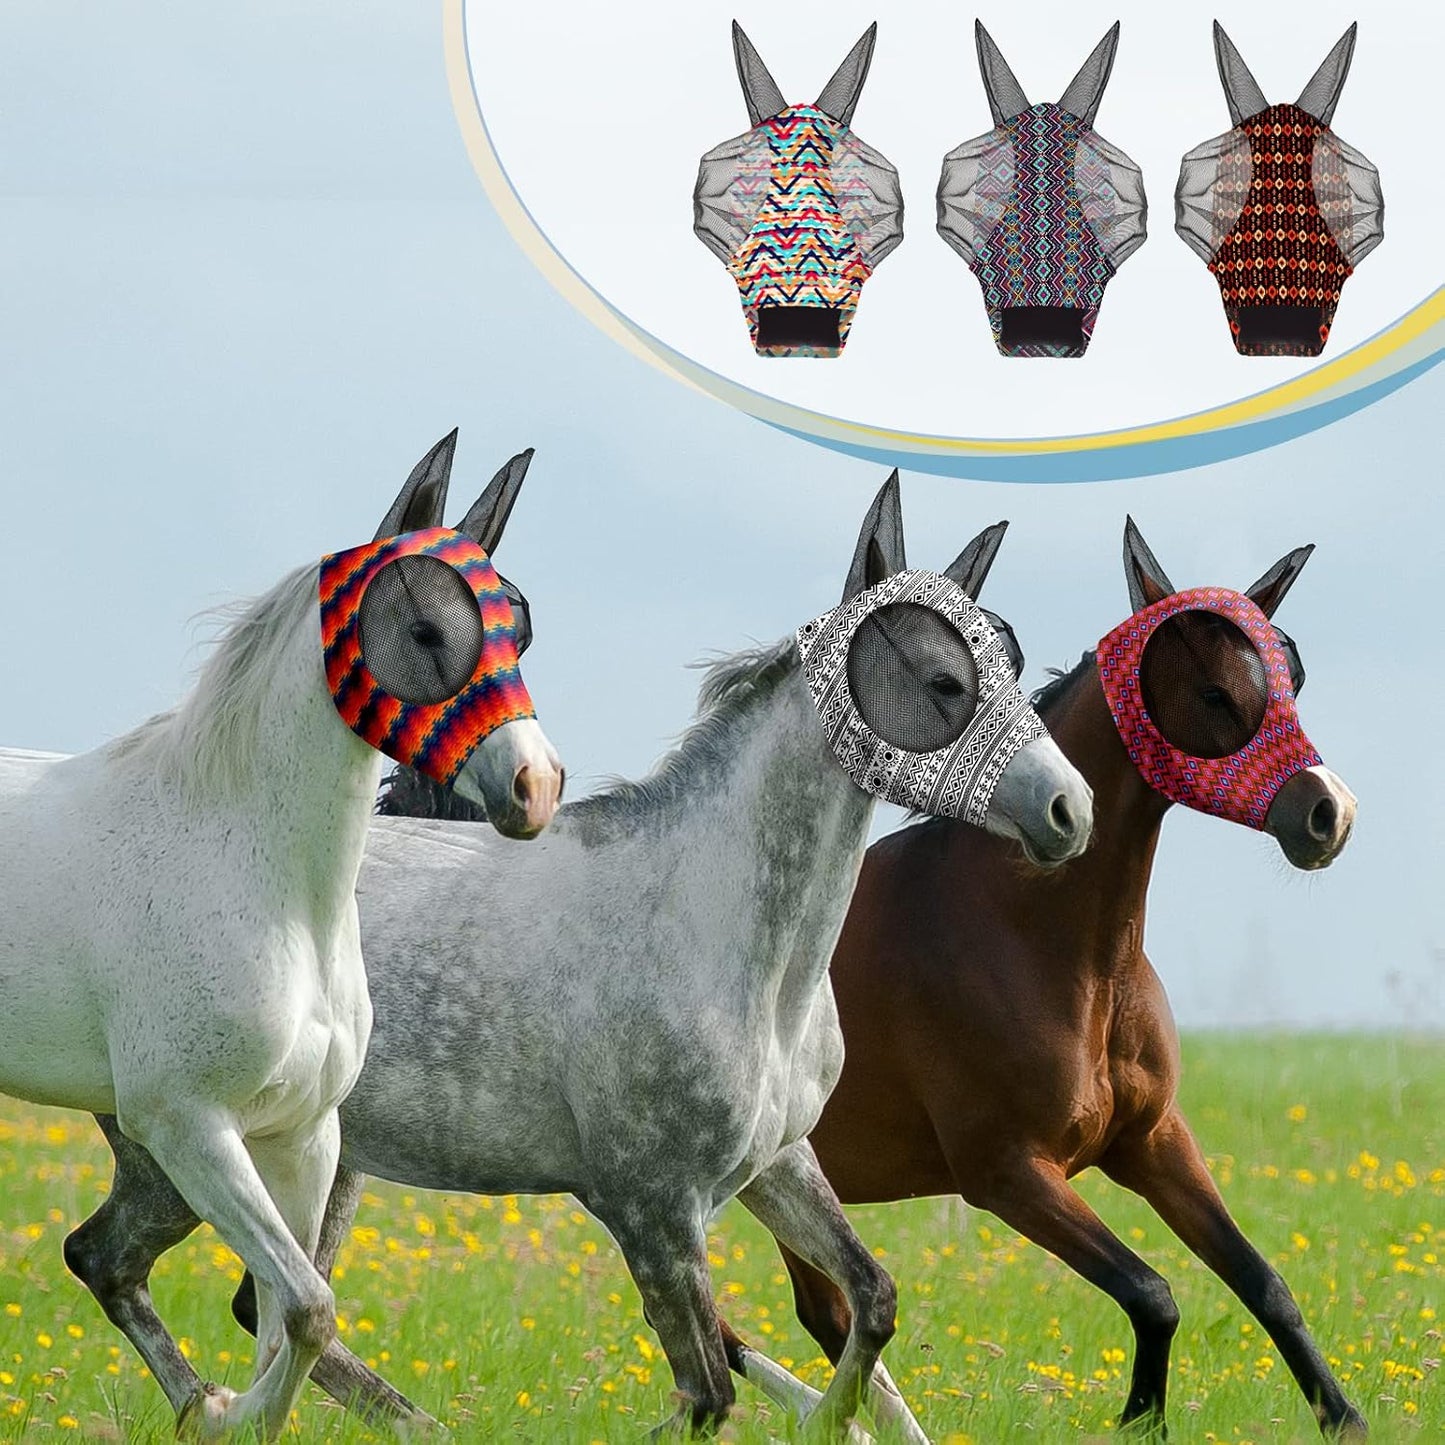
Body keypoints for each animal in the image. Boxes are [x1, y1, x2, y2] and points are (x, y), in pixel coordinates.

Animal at [0, 432, 562, 1438]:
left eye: (522, 628)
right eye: (428, 631)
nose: (535, 788)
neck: (262, 878)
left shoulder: (302, 1135)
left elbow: (281, 1319)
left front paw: (220, 1407)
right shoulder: (189, 1124)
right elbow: (304, 1306)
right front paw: (226, 1413)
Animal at [69, 472, 1094, 1441]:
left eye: (1008, 656)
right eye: (943, 679)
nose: (1067, 810)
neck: (727, 943)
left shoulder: (776, 1163)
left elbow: (871, 1302)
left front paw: (831, 1420)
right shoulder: (648, 1206)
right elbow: (706, 1391)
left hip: (310, 1157)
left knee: (227, 1292)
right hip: (186, 1144)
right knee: (129, 1264)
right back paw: (242, 1412)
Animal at [765, 519, 1366, 1439]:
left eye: (1292, 675)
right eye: (1215, 691)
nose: (1326, 813)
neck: (1052, 946)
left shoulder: (1151, 1140)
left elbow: (1264, 1283)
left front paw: (1344, 1417)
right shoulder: (1009, 1173)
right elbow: (1153, 1294)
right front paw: (1141, 1419)